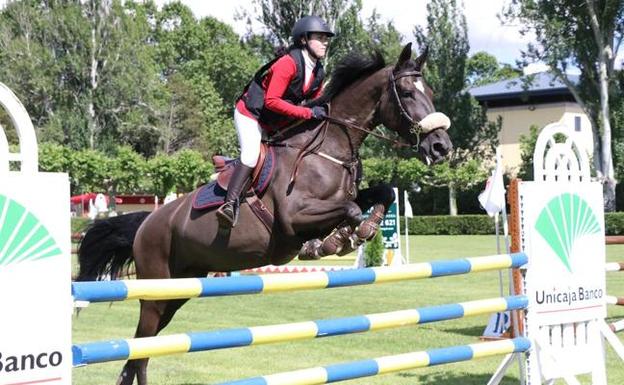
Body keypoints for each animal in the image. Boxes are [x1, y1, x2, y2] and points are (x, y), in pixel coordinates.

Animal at [78, 42, 454, 384]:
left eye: (431, 92)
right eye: (407, 92)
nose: (441, 147)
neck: (329, 148)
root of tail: (146, 222)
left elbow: (382, 193)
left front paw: (363, 229)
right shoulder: (293, 218)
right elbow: (347, 210)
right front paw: (333, 241)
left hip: (180, 290)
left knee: (143, 351)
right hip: (157, 291)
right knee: (140, 348)